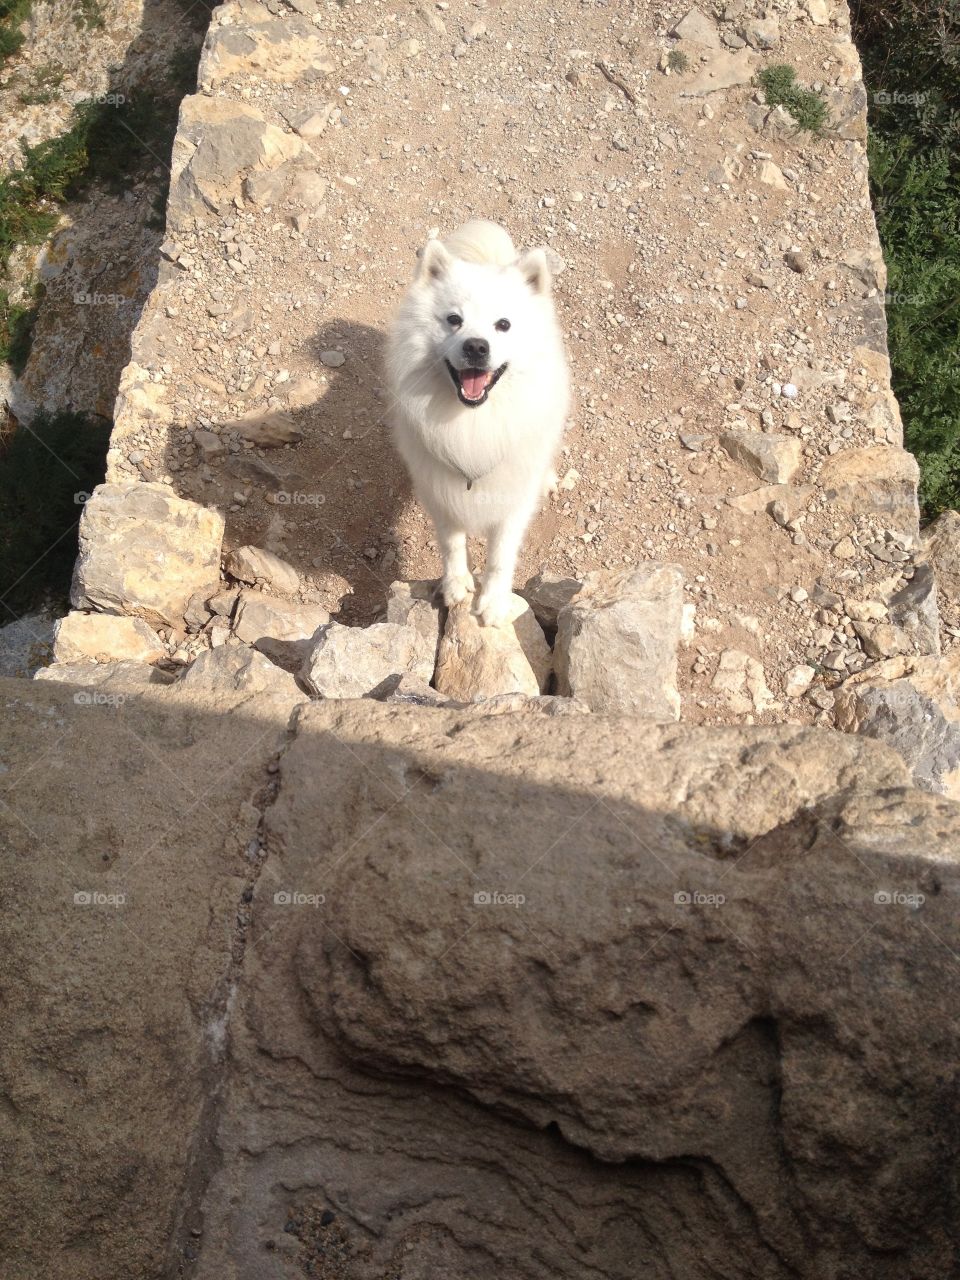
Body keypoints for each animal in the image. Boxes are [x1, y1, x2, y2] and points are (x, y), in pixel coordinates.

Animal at [386, 221, 570, 629]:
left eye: (503, 325)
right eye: (454, 320)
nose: (476, 346)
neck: (474, 422)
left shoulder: (512, 500)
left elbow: (501, 556)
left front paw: (493, 605)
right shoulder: (441, 491)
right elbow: (452, 543)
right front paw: (456, 587)